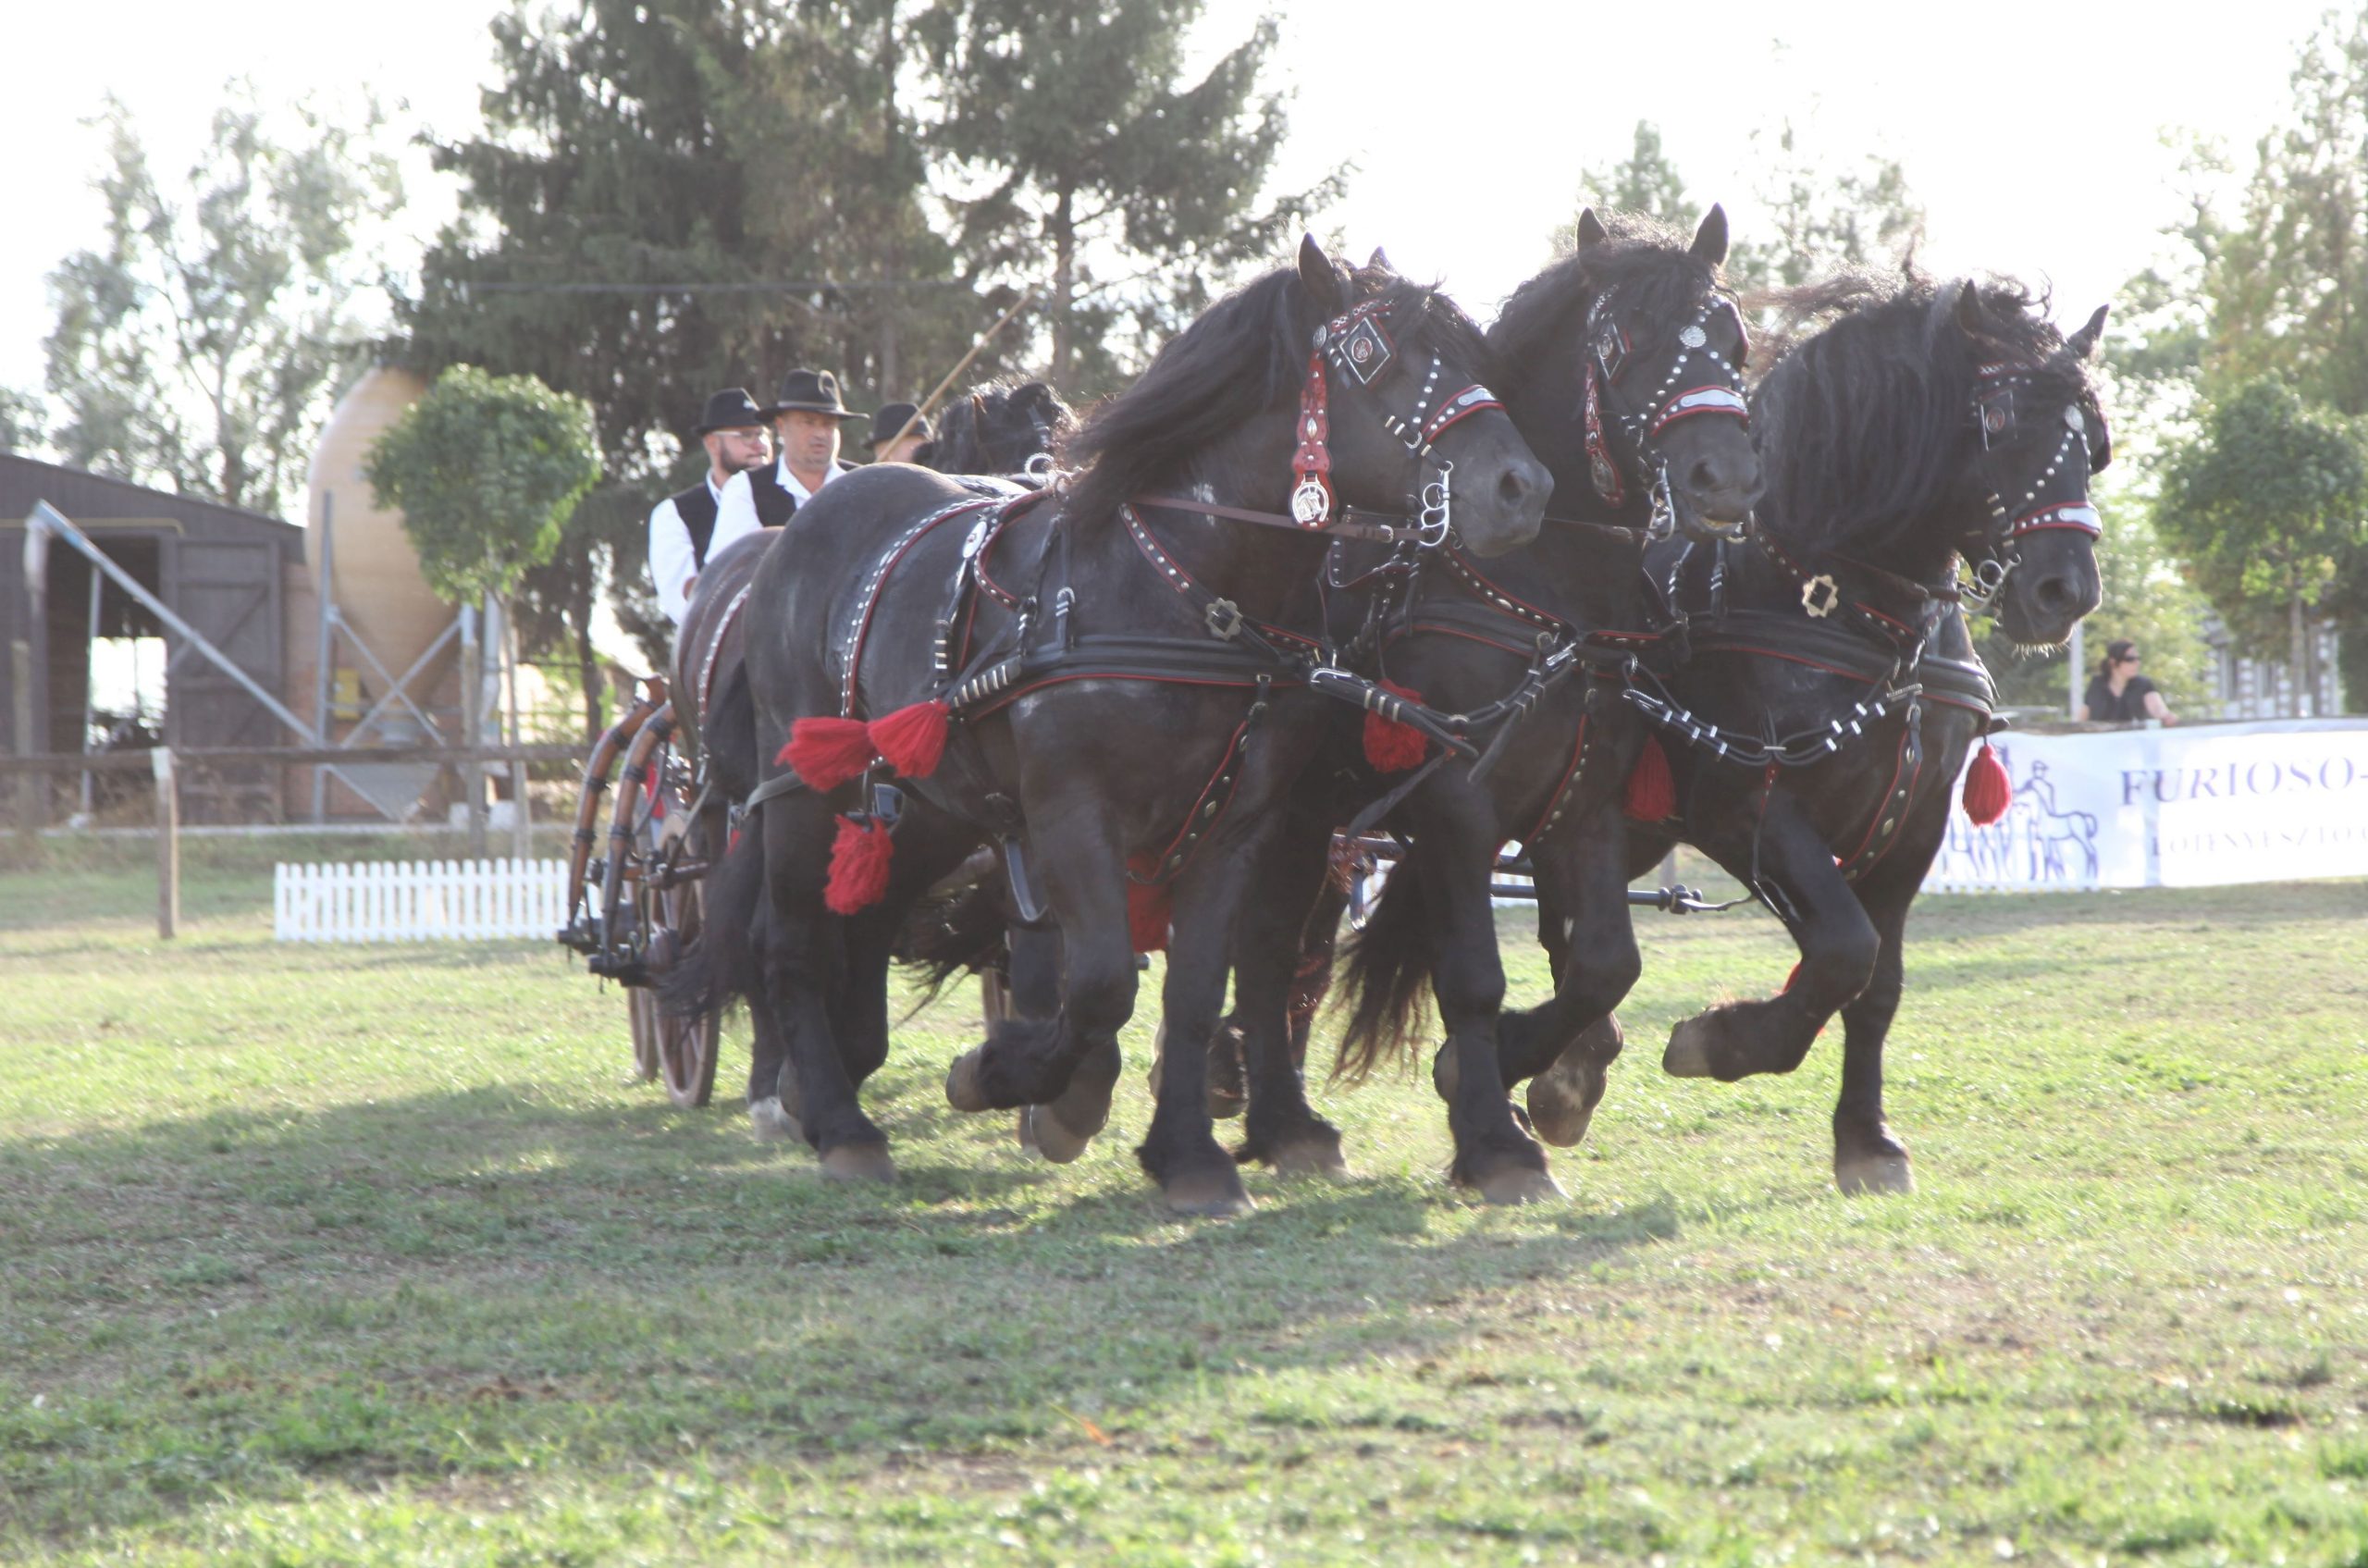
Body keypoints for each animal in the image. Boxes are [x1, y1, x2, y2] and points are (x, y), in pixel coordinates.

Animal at [682, 242, 1553, 1212]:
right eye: (1373, 355)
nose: (1523, 487)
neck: (1183, 591)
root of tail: (788, 539)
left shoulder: (1234, 827)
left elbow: (1195, 989)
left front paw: (1189, 1156)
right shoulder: (1069, 815)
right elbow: (1097, 985)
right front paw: (1005, 1074)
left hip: (931, 801)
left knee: (870, 916)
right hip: (807, 787)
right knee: (790, 942)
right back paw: (837, 1122)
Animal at [1553, 276, 2112, 1198]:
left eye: (2091, 439)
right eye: (1998, 427)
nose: (2066, 589)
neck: (1839, 606)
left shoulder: (1916, 821)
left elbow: (1875, 982)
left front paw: (1867, 1139)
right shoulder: (1746, 806)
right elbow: (1845, 948)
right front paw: (1721, 1039)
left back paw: (1569, 1063)